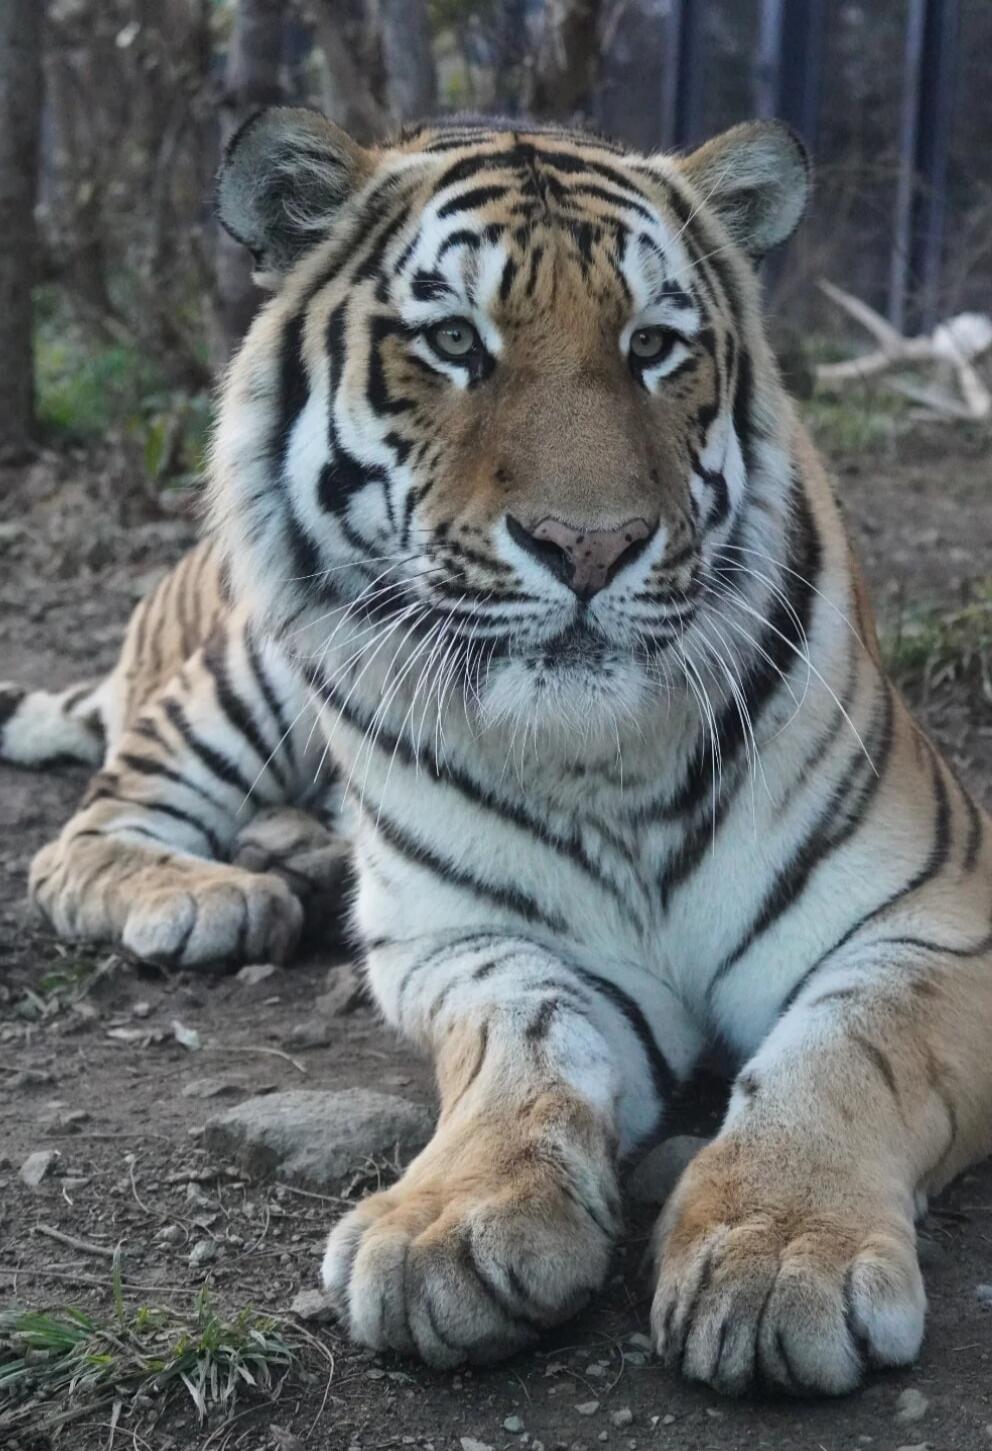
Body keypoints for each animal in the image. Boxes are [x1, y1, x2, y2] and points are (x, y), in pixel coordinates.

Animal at [3, 107, 992, 1399]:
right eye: (452, 342)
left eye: (654, 344)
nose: (590, 544)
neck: (605, 761)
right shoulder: (467, 937)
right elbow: (516, 1053)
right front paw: (448, 1224)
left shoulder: (934, 913)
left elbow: (844, 1052)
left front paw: (780, 1245)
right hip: (235, 673)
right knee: (88, 827)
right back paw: (214, 897)